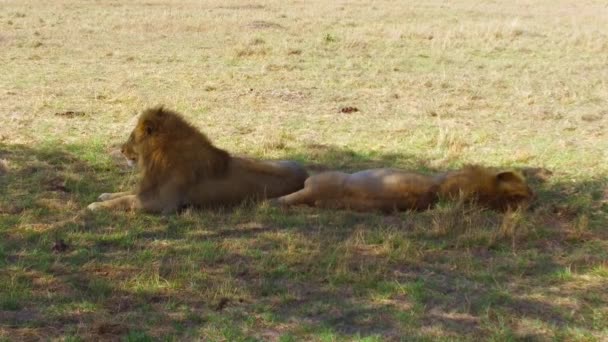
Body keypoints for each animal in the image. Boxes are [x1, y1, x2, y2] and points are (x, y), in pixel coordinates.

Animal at [86, 107, 308, 214]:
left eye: (132, 137)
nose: (121, 150)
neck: (156, 159)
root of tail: (305, 172)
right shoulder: (149, 188)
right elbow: (126, 192)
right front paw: (105, 195)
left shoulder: (164, 202)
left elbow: (126, 199)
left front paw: (95, 206)